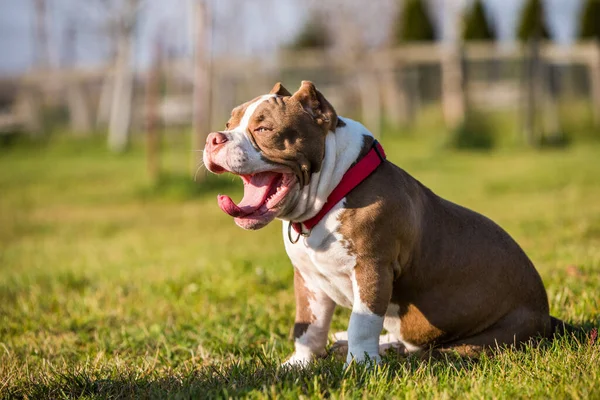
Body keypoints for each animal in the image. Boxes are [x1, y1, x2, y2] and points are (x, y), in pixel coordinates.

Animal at [203, 80, 568, 366]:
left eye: (264, 129)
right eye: (229, 122)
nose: (213, 138)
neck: (330, 195)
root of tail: (547, 317)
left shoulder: (372, 268)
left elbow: (362, 322)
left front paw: (361, 365)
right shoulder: (308, 279)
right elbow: (308, 325)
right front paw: (299, 363)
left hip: (485, 339)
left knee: (429, 351)